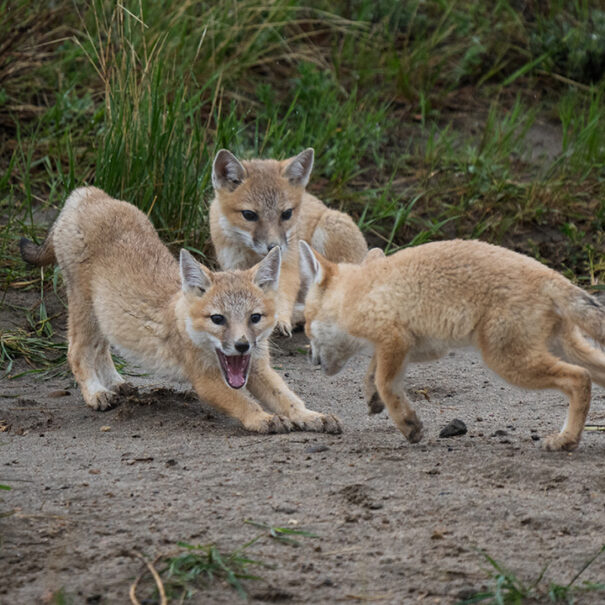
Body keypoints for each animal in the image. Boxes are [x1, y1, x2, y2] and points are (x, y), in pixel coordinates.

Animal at [208, 147, 368, 336]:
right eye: (249, 215)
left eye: (286, 214)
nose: (274, 246)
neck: (254, 256)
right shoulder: (234, 265)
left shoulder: (287, 265)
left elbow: (281, 296)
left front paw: (281, 320)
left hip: (328, 230)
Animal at [298, 238, 604, 450]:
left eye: (306, 325)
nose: (311, 360)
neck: (357, 293)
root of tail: (550, 275)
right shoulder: (416, 346)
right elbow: (375, 372)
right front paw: (372, 397)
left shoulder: (395, 338)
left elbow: (386, 382)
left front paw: (408, 424)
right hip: (560, 349)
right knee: (591, 373)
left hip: (509, 362)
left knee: (580, 379)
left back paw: (566, 440)